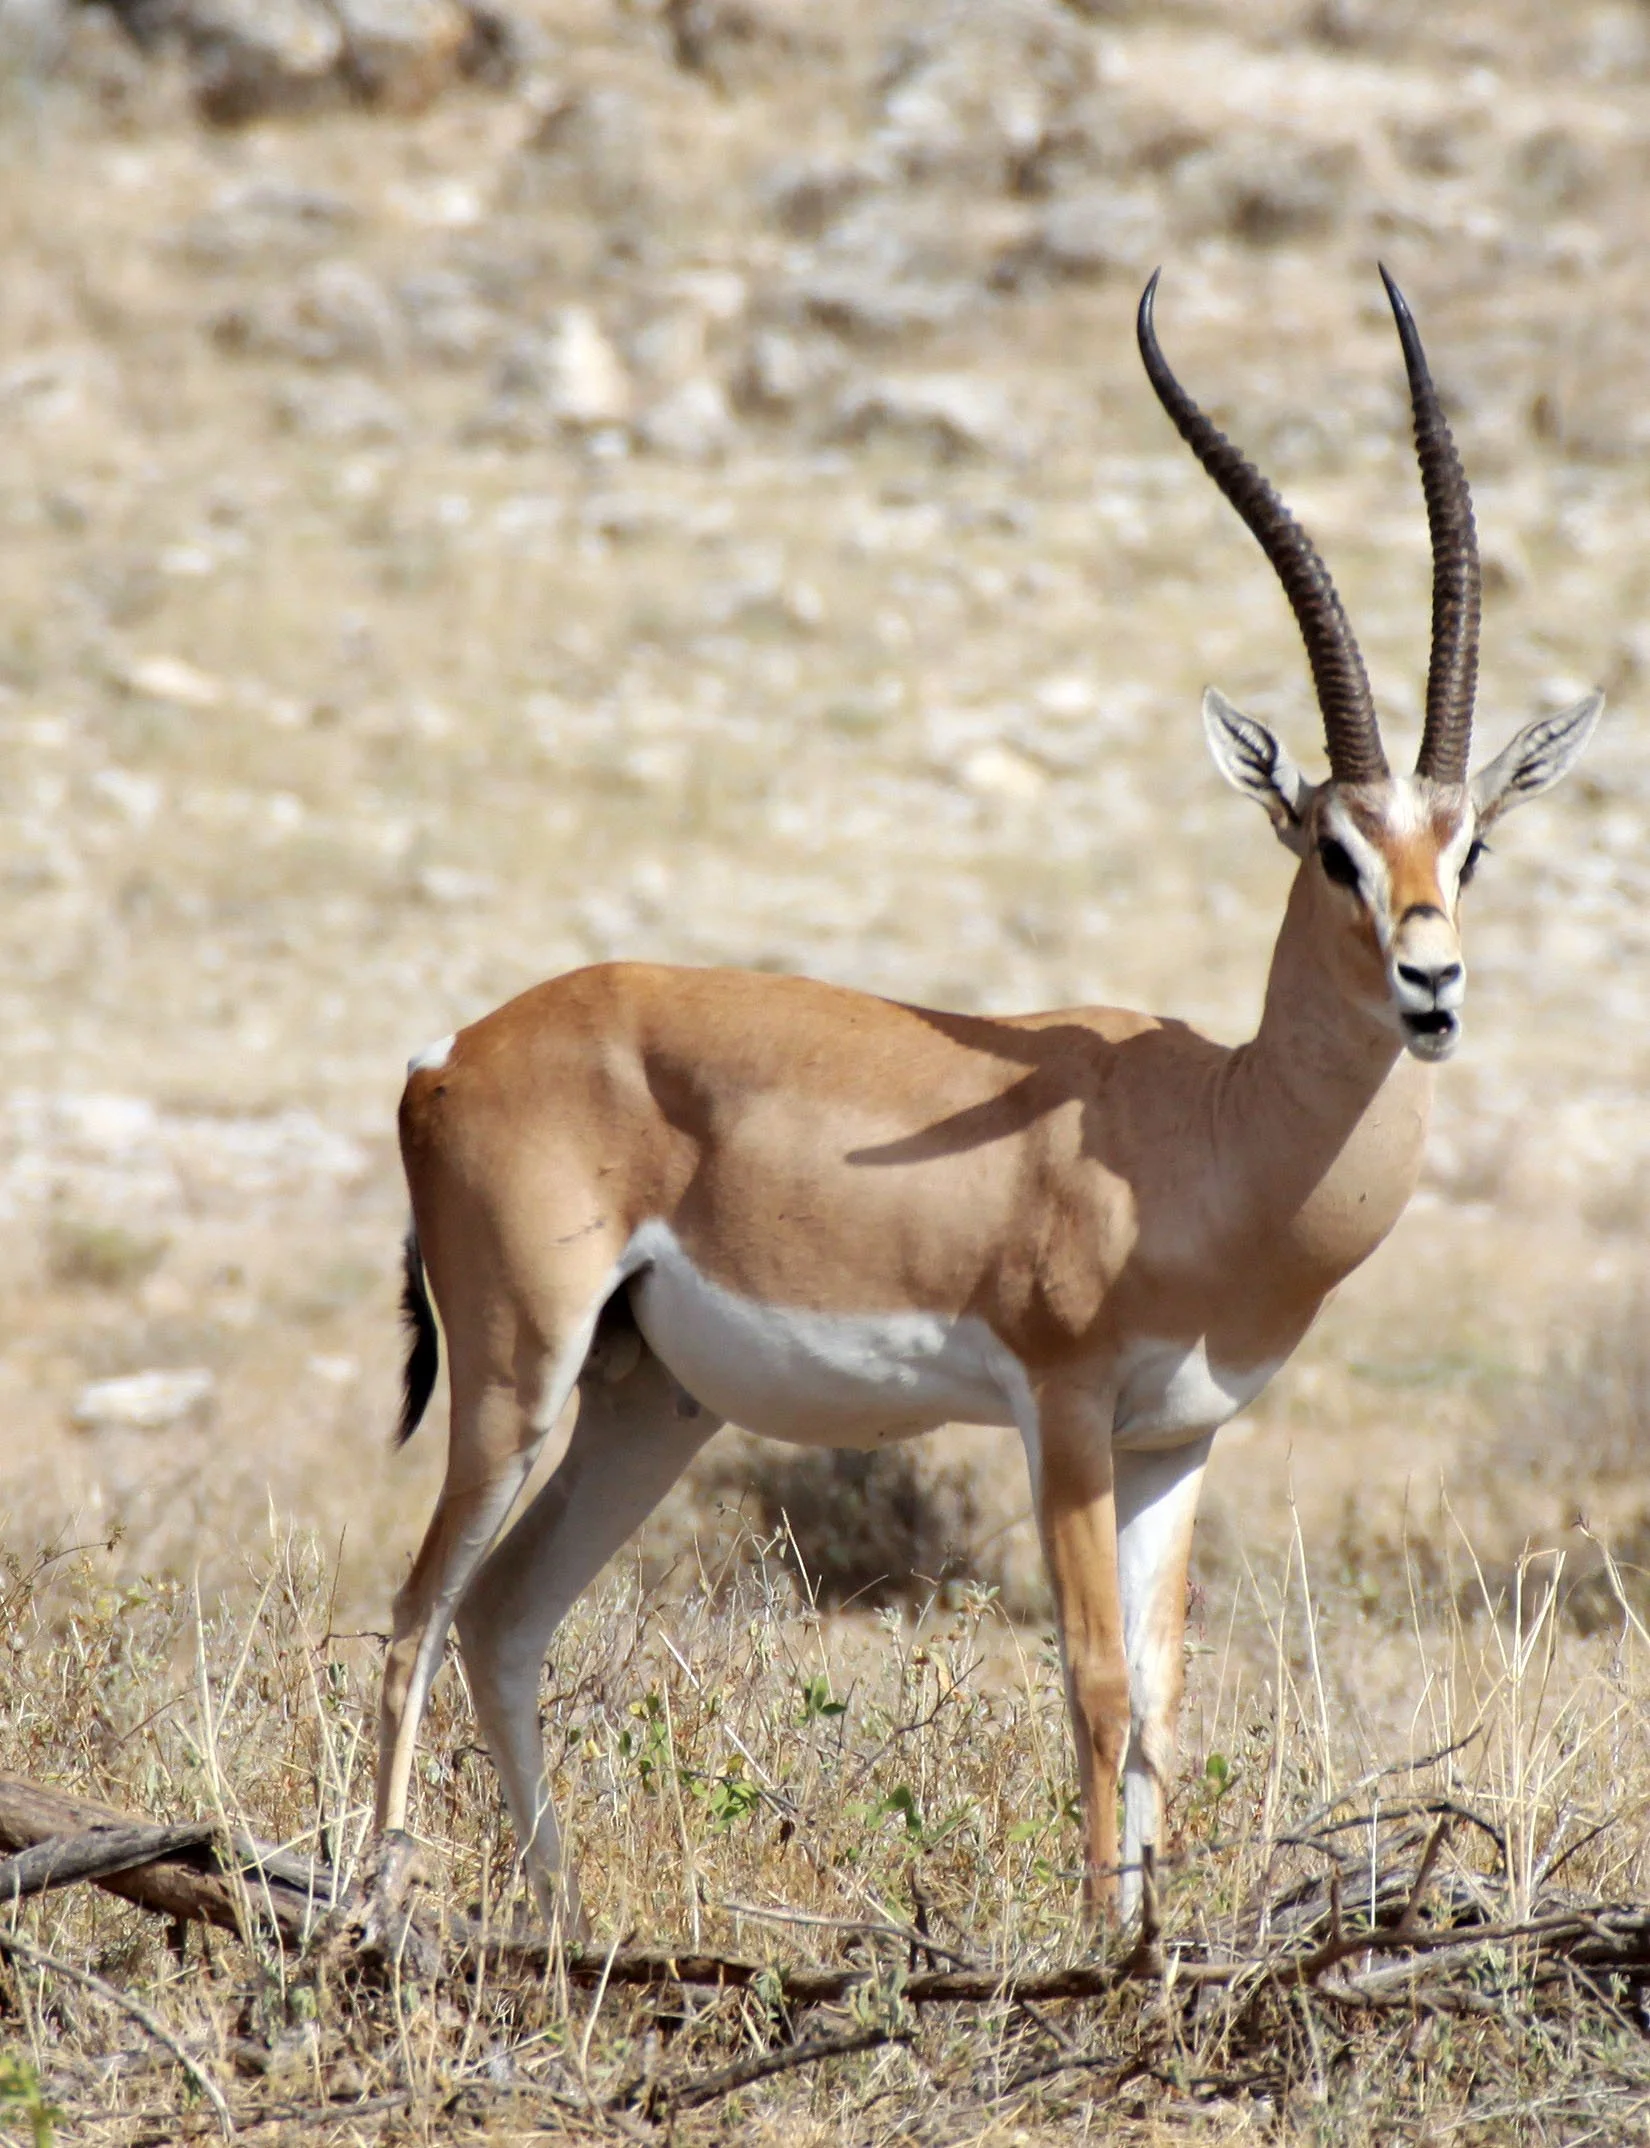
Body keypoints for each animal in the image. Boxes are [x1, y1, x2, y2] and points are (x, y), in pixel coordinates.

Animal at [371, 270, 1601, 1934]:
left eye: (1465, 846)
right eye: (1330, 847)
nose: (1432, 984)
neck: (1203, 1137)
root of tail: (448, 1055)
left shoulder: (1178, 1441)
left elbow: (1161, 1696)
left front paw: (1146, 1940)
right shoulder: (1062, 1408)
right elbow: (1091, 1682)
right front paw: (1095, 1943)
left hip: (645, 1402)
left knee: (502, 1616)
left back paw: (561, 1925)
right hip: (518, 1377)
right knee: (412, 1617)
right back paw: (367, 1917)